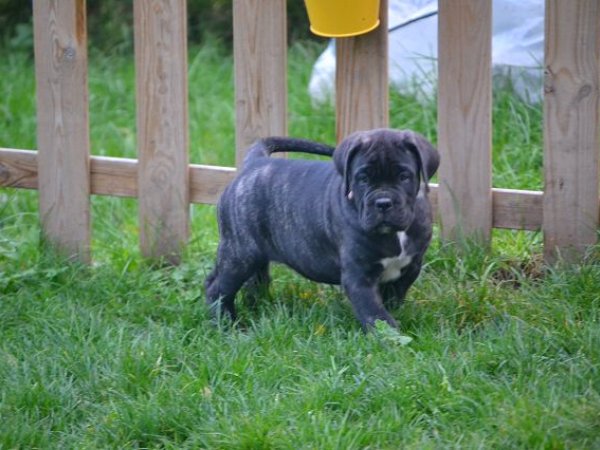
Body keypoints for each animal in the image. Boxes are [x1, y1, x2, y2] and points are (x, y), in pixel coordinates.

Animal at [205, 128, 440, 330]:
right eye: (363, 179)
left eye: (404, 176)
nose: (383, 203)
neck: (396, 234)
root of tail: (254, 162)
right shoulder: (359, 276)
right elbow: (374, 313)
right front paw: (390, 338)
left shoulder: (410, 267)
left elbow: (392, 299)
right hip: (239, 254)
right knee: (217, 289)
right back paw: (227, 325)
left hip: (253, 256)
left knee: (250, 281)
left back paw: (256, 308)